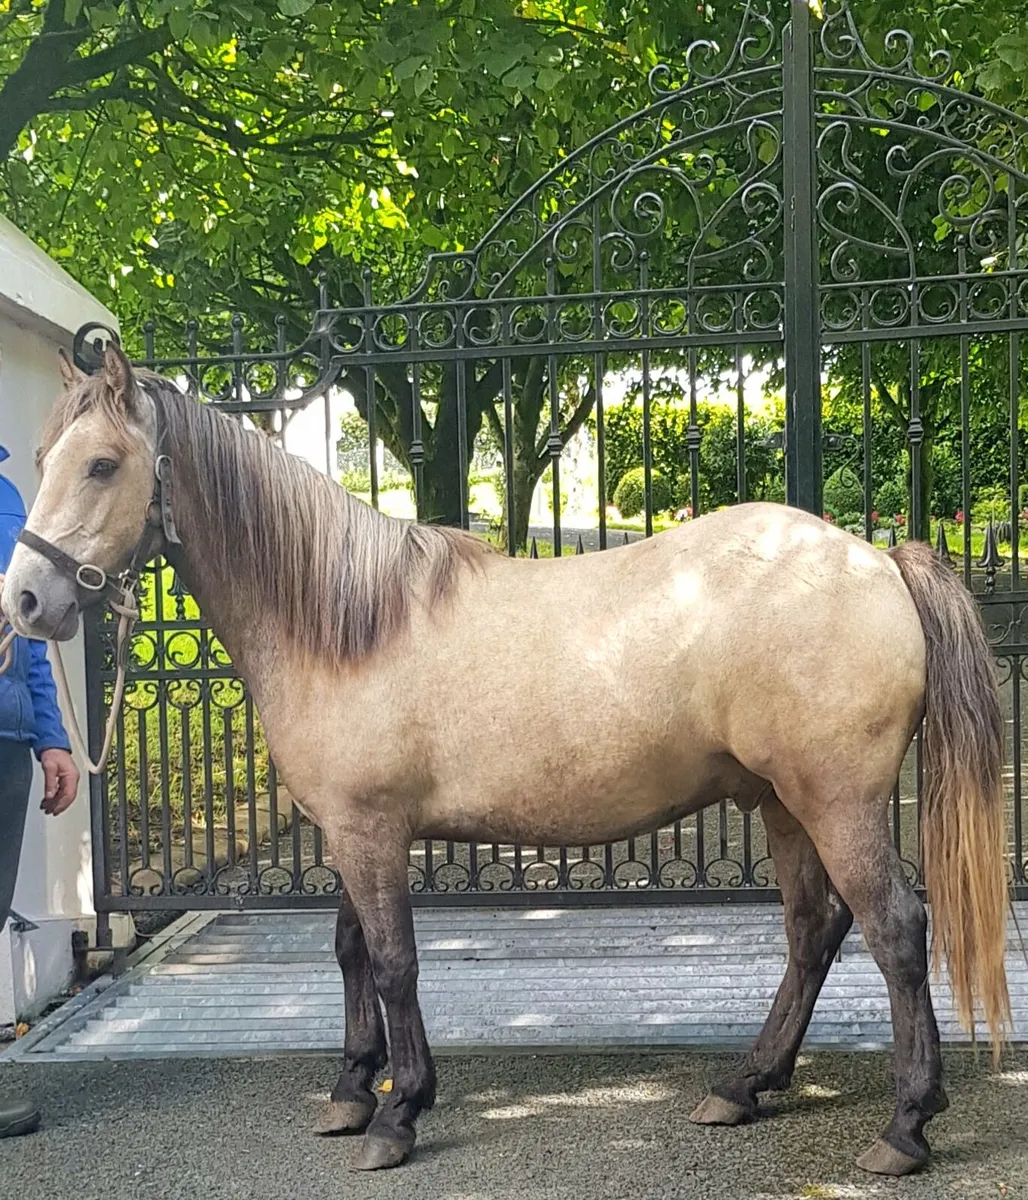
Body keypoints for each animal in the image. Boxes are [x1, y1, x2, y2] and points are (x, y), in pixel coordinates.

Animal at [2, 343, 1009, 1177]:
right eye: (43, 459)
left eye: (103, 463)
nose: (25, 600)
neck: (345, 624)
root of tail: (877, 560)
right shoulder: (348, 830)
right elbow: (350, 951)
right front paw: (349, 1092)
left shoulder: (371, 832)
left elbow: (395, 962)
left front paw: (397, 1115)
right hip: (781, 802)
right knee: (814, 930)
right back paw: (742, 1086)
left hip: (835, 801)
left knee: (895, 931)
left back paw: (905, 1127)